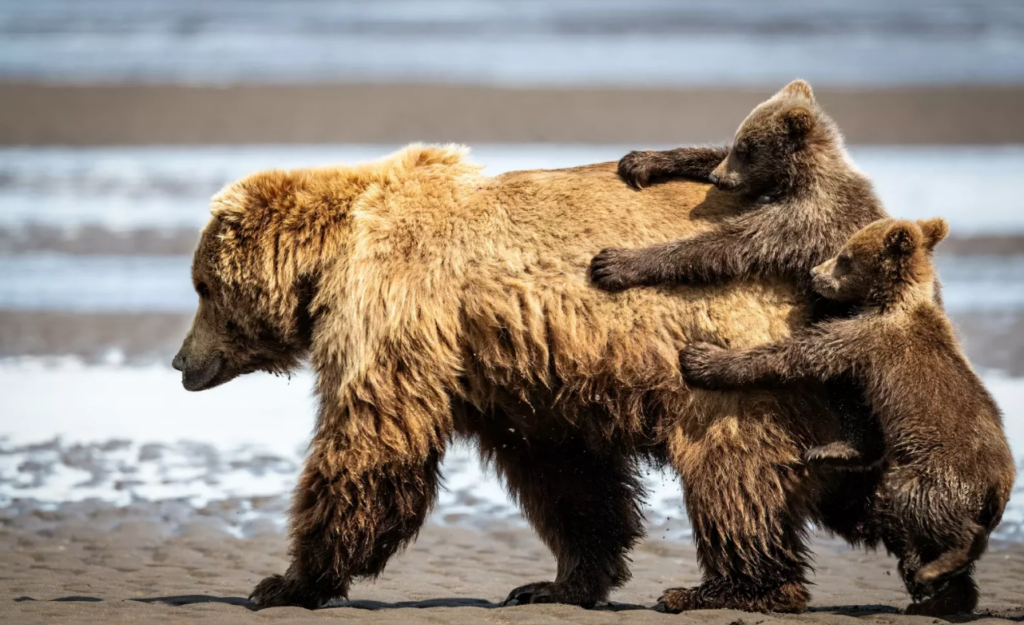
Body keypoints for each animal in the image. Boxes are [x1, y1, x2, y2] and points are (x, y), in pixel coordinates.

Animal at [174, 143, 872, 610]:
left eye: (202, 286)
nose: (181, 362)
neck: (331, 259)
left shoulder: (394, 309)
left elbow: (370, 442)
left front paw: (286, 582)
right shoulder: (516, 375)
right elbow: (567, 476)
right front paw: (557, 581)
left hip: (729, 350)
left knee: (733, 467)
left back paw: (732, 586)